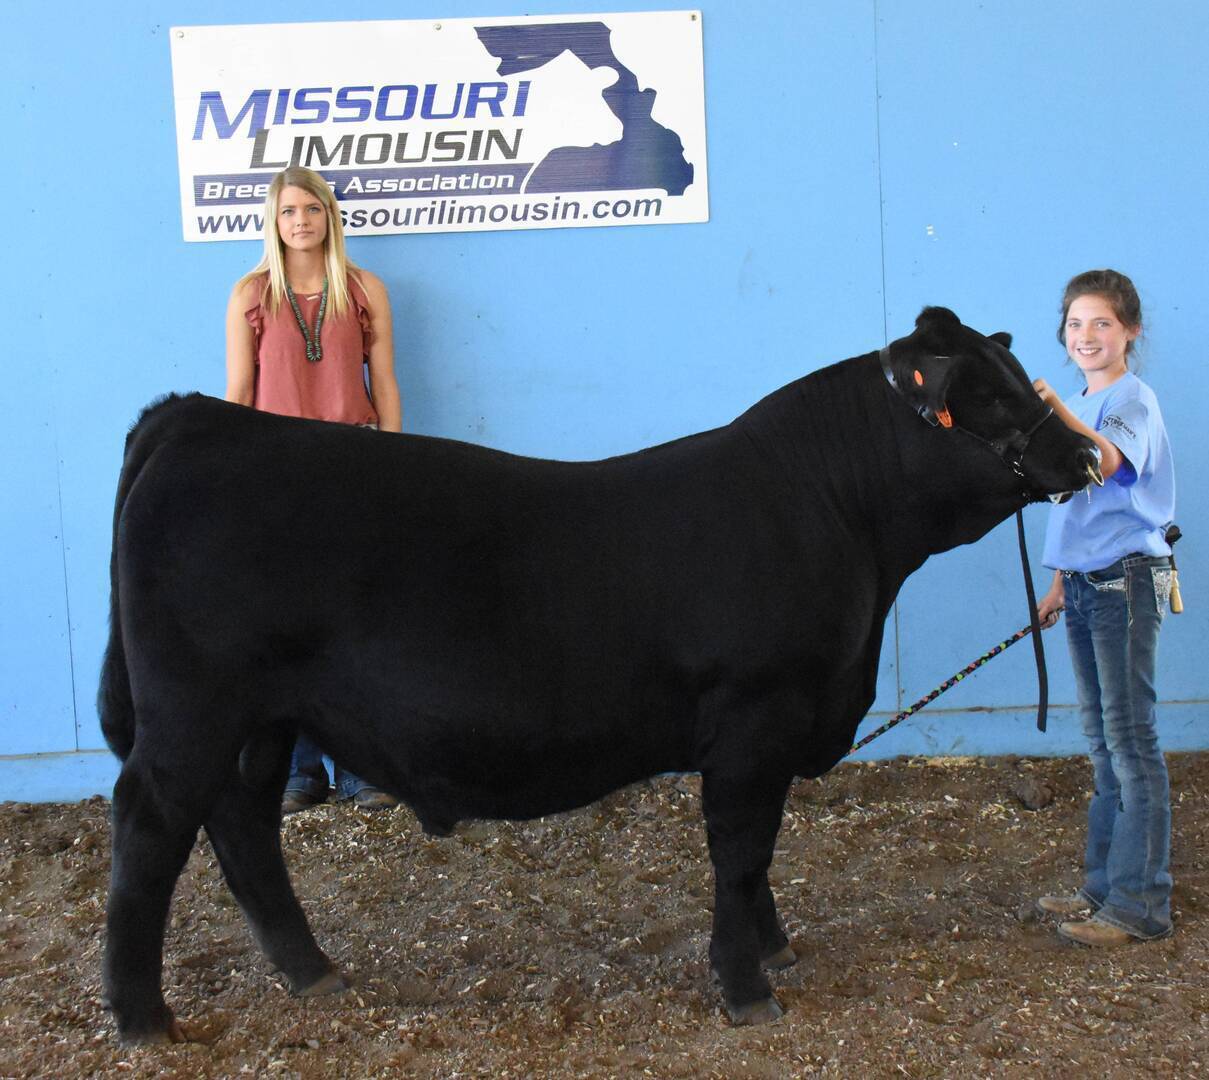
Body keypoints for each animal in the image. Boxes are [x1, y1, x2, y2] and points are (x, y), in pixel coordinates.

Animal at [98, 307, 1098, 1043]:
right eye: (989, 399)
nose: (1086, 456)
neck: (838, 521)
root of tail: (203, 417)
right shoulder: (756, 714)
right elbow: (740, 850)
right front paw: (746, 986)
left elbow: (760, 852)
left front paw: (772, 950)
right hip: (194, 707)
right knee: (151, 823)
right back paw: (144, 1016)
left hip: (262, 718)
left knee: (242, 824)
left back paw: (312, 972)